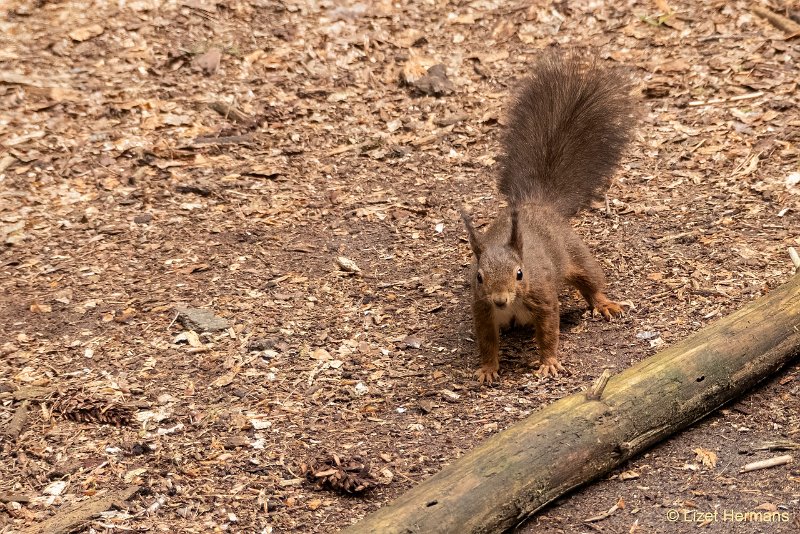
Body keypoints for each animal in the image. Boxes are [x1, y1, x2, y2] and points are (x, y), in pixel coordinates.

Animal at [462, 55, 636, 386]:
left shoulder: (543, 298)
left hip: (575, 252)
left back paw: (604, 303)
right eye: (479, 277)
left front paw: (549, 363)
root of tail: (537, 204)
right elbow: (487, 342)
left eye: (520, 274)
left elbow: (548, 331)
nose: (500, 300)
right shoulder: (481, 309)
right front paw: (488, 368)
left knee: (591, 281)